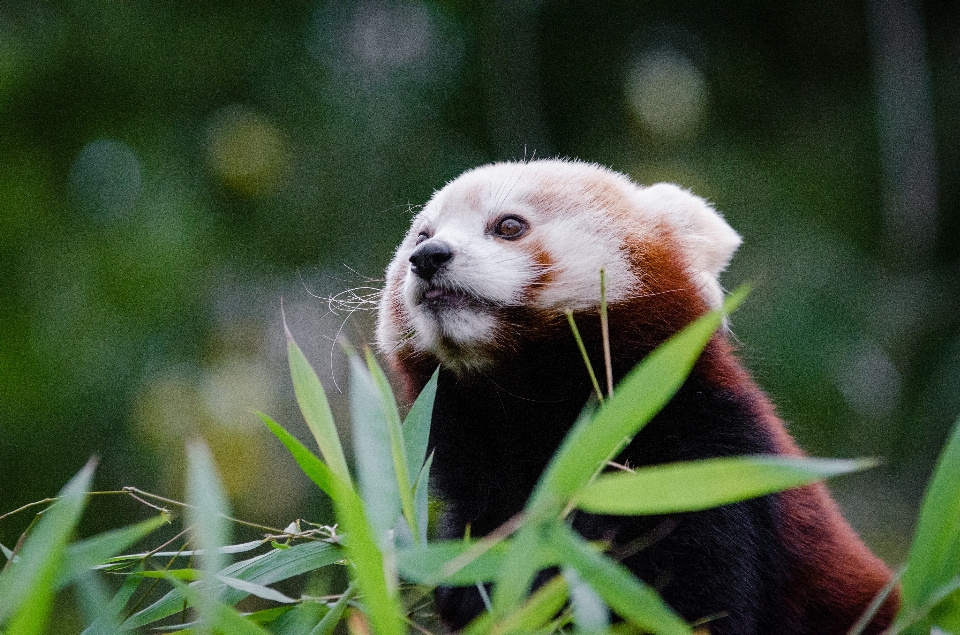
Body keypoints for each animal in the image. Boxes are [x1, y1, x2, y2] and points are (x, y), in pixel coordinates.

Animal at [376, 160, 900, 635]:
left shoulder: (702, 468)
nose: (429, 256)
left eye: (509, 226)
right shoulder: (480, 509)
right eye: (421, 236)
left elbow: (693, 602)